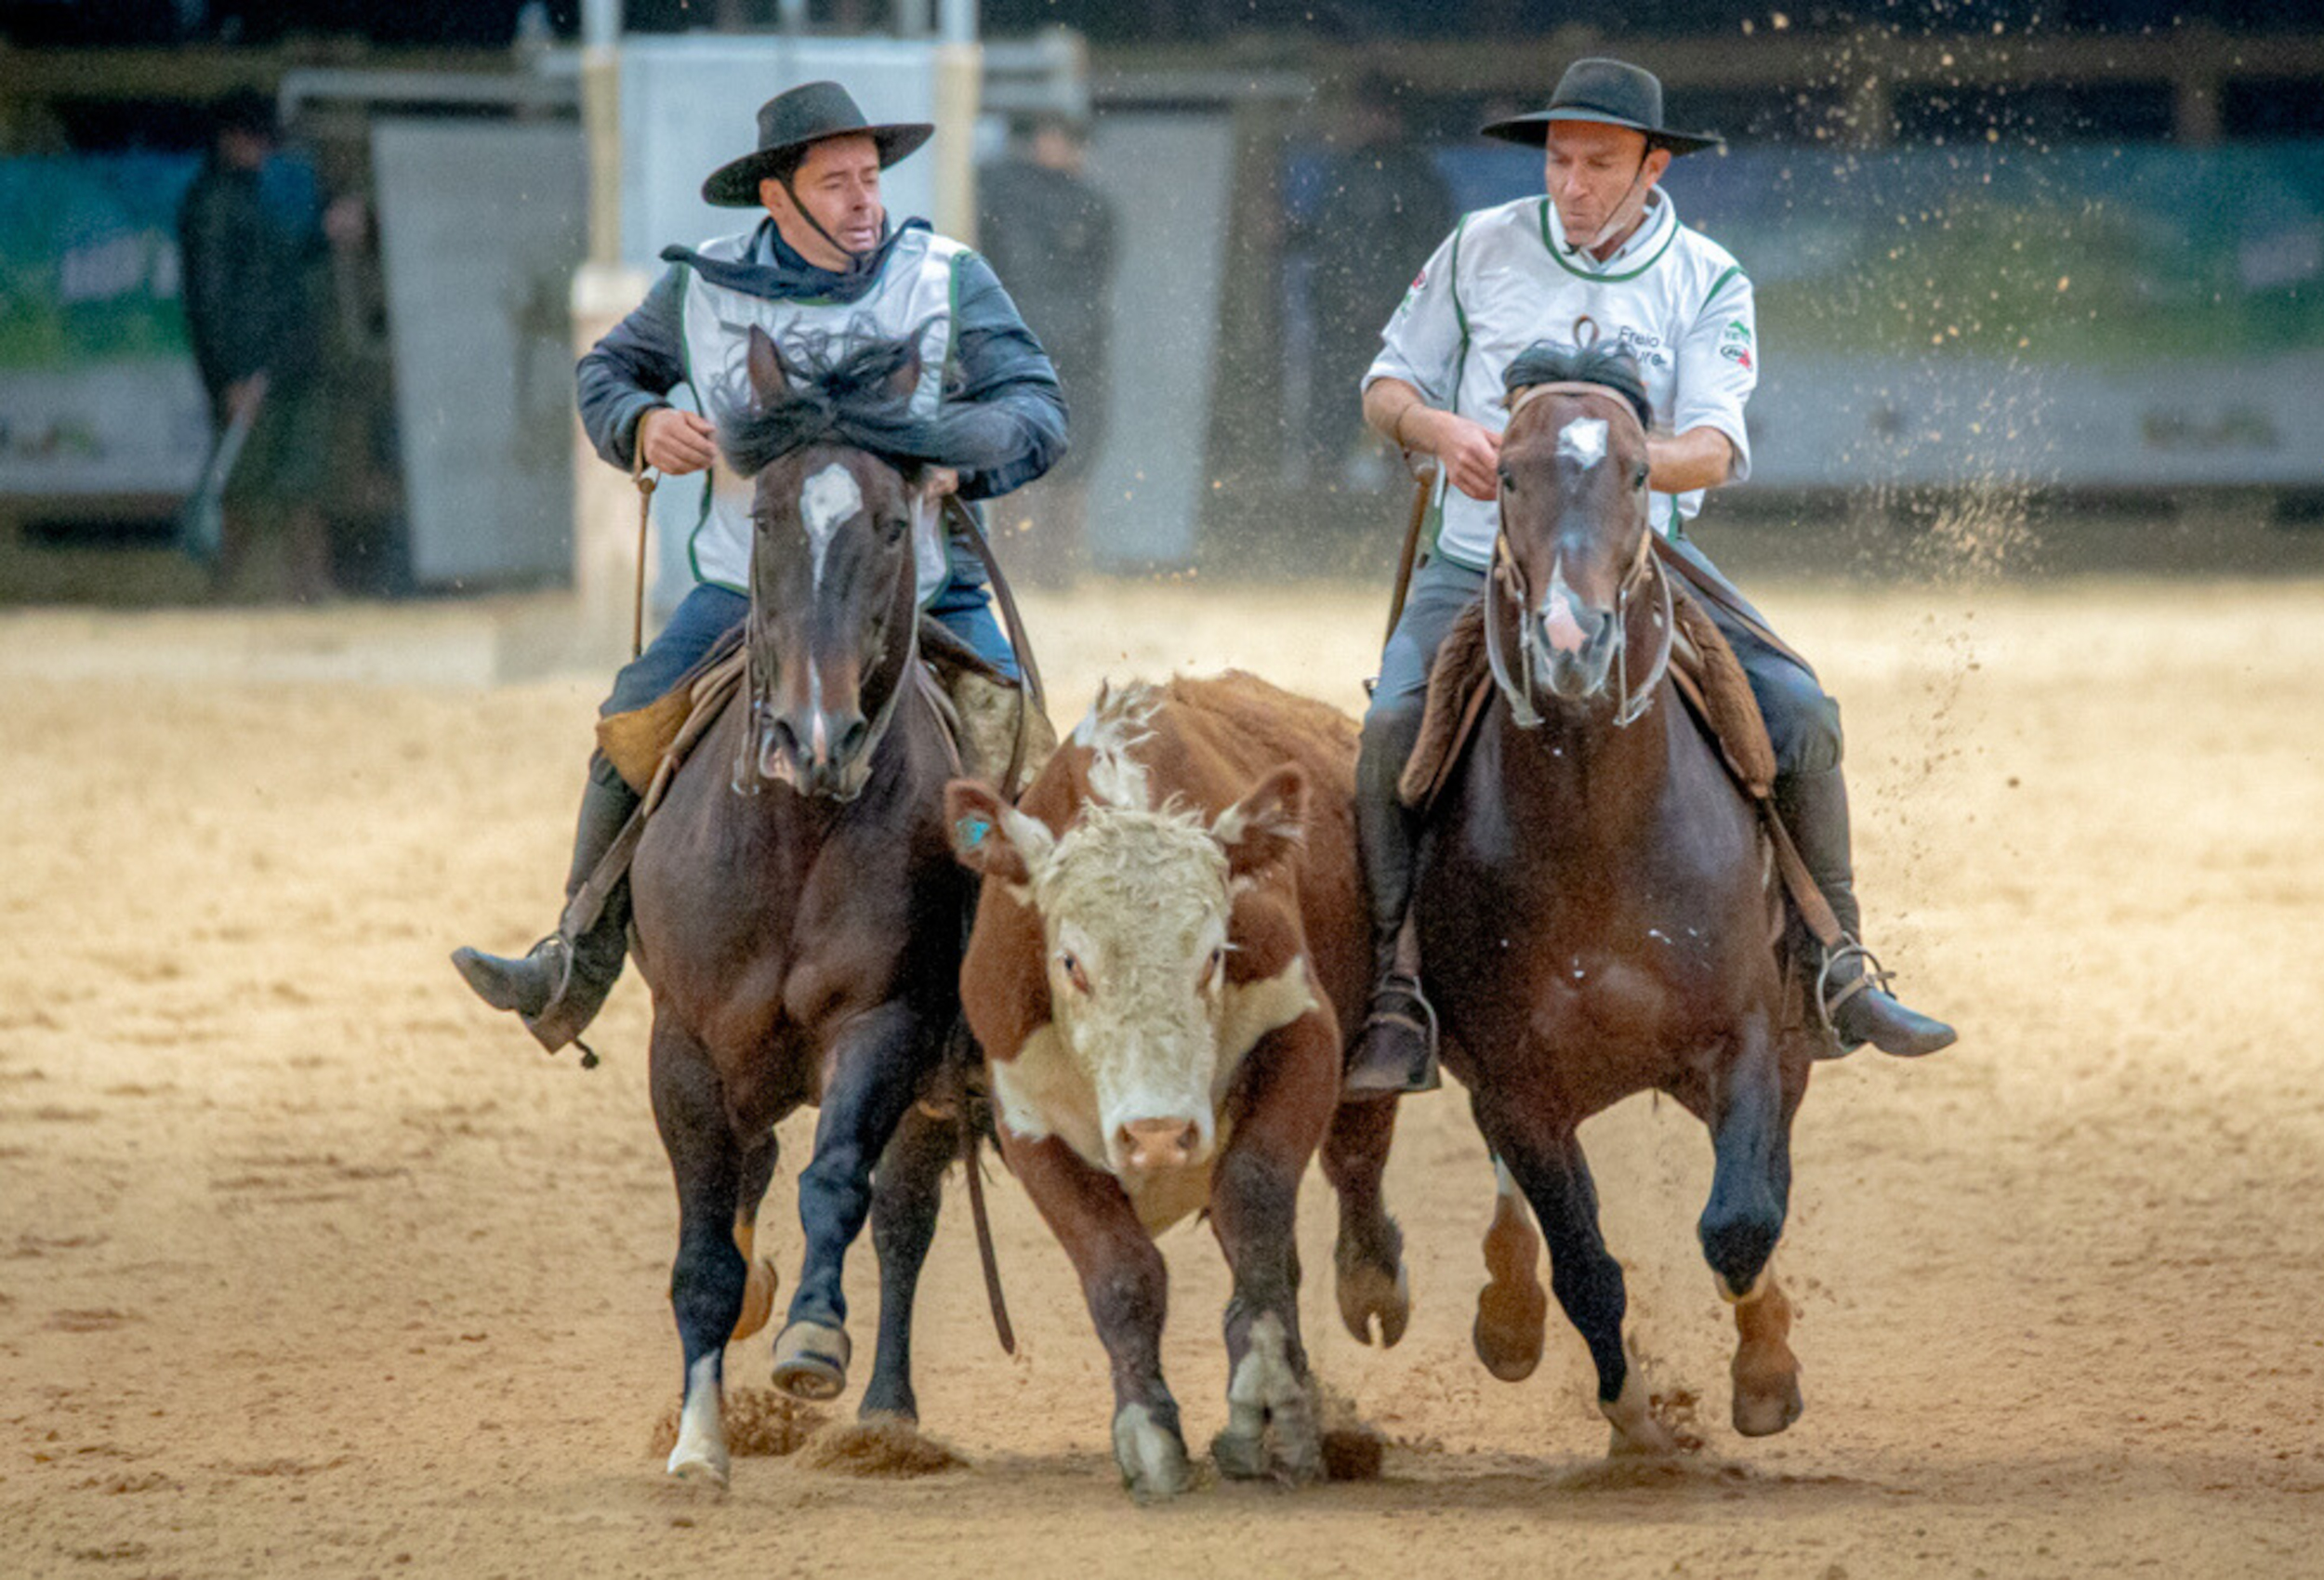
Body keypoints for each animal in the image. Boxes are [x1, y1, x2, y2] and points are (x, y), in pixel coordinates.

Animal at [632, 327, 976, 1487]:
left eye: (890, 523)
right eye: (767, 516)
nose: (814, 734)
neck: (796, 836)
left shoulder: (888, 1024)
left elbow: (838, 1184)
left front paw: (815, 1341)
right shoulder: (683, 1048)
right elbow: (702, 1252)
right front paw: (698, 1442)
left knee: (904, 1216)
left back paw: (887, 1418)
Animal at [939, 674, 1394, 1496]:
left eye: (1214, 954)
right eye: (1071, 962)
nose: (1156, 1134)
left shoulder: (1303, 1032)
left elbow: (1253, 1200)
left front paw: (1266, 1402)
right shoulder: (1024, 1115)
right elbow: (1121, 1273)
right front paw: (1148, 1433)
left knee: (1357, 1158)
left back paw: (1373, 1287)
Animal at [1413, 346, 1813, 1459]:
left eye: (1638, 474)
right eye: (1506, 474)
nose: (1567, 636)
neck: (1598, 834)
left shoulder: (1749, 1035)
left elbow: (1740, 1222)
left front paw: (1766, 1372)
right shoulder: (1516, 1087)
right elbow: (1586, 1262)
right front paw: (1634, 1418)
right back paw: (1507, 1314)